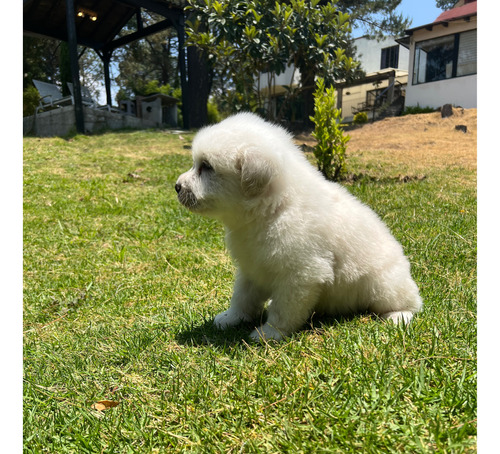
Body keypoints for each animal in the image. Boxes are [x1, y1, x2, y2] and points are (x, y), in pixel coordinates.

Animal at [176, 113, 422, 340]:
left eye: (206, 167)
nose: (177, 186)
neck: (274, 209)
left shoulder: (300, 275)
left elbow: (283, 309)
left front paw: (269, 334)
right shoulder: (251, 268)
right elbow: (242, 297)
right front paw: (231, 318)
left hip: (384, 285)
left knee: (410, 304)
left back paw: (398, 316)